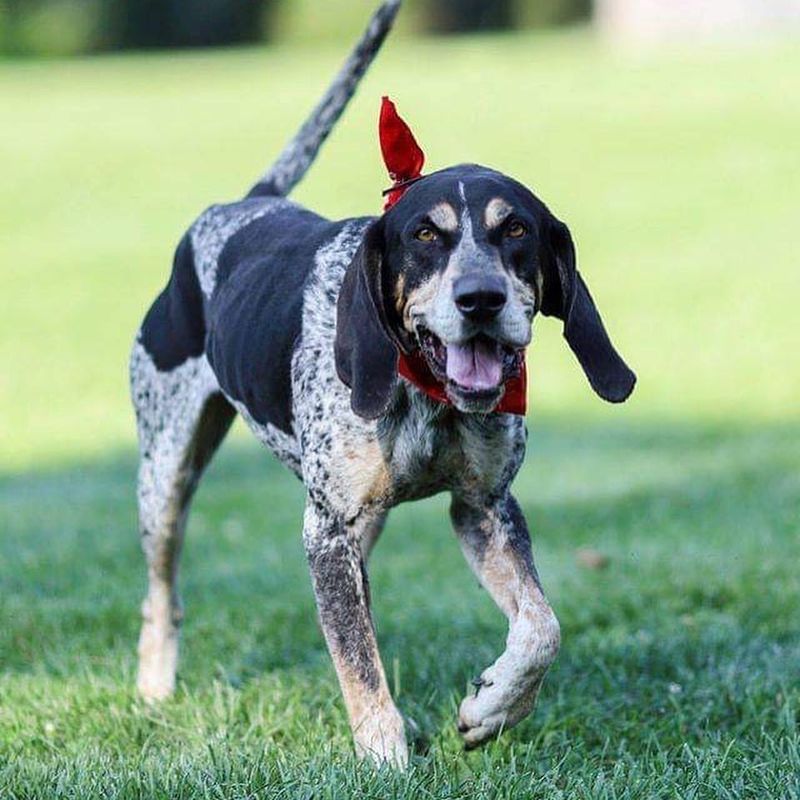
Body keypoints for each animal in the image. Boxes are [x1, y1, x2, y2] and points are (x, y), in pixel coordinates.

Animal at [131, 0, 636, 764]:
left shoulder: (482, 508)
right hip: (167, 480)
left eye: (516, 229)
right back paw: (155, 689)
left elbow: (541, 629)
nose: (480, 299)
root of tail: (241, 206)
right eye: (425, 236)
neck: (425, 393)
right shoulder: (330, 527)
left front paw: (492, 708)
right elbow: (360, 661)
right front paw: (385, 753)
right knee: (163, 594)